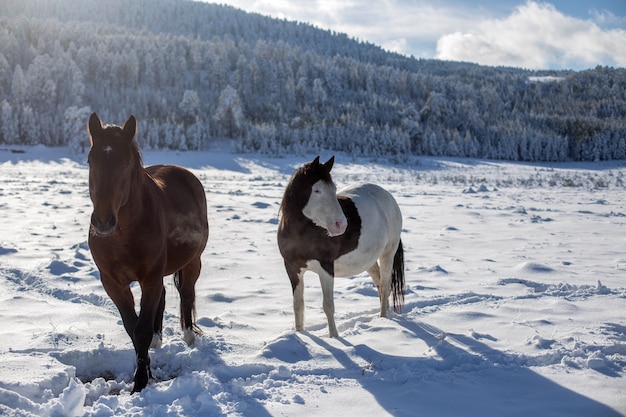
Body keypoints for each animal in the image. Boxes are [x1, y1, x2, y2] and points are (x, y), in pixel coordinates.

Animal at [86, 112, 208, 392]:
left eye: (126, 164)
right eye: (90, 161)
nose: (103, 222)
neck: (124, 235)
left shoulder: (150, 277)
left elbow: (140, 330)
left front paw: (140, 382)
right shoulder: (113, 283)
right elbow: (133, 328)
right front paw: (146, 369)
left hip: (192, 262)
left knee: (186, 293)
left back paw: (188, 337)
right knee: (162, 298)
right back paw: (157, 340)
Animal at [276, 156, 402, 338]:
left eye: (334, 189)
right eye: (317, 190)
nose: (341, 225)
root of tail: (388, 197)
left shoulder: (326, 268)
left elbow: (328, 306)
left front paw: (334, 337)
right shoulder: (292, 269)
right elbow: (298, 305)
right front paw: (300, 334)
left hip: (388, 253)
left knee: (385, 285)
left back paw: (384, 319)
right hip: (368, 260)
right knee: (379, 284)